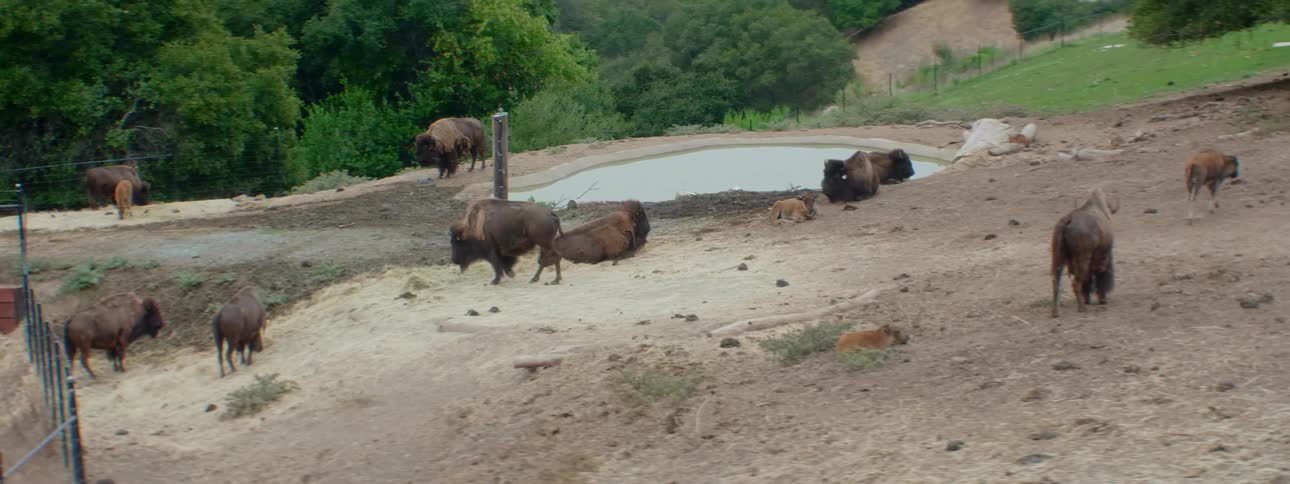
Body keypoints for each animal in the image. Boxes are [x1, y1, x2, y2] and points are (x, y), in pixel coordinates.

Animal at [1051, 187, 1119, 318]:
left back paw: (1056, 312)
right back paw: (1082, 308)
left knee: (1056, 280)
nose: (1104, 300)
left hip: (1058, 257)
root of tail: (1069, 219)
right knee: (1076, 282)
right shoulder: (1103, 258)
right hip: (1082, 259)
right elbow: (1098, 276)